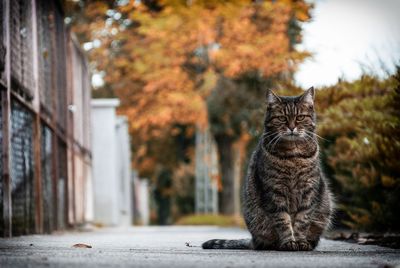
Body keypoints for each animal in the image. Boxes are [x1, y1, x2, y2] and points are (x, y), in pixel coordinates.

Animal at [202, 88, 332, 251]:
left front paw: (301, 241)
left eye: (300, 117)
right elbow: (283, 221)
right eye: (282, 118)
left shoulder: (308, 191)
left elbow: (303, 220)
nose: (292, 127)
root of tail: (253, 239)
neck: (293, 155)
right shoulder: (274, 191)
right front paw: (289, 242)